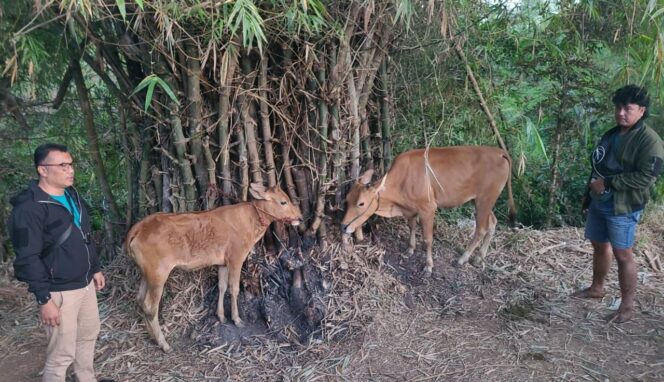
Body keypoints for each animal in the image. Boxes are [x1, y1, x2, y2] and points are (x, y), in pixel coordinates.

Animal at [124, 183, 300, 352]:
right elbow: (234, 288)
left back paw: (152, 336)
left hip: (147, 273)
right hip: (158, 274)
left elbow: (222, 286)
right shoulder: (236, 257)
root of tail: (139, 227)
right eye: (283, 202)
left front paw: (221, 316)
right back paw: (163, 344)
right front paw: (236, 319)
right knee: (150, 306)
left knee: (140, 300)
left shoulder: (222, 262)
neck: (250, 221)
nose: (299, 217)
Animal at [340, 145, 516, 274]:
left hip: (484, 200)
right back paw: (479, 258)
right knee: (493, 223)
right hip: (481, 201)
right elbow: (411, 227)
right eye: (347, 199)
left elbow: (427, 239)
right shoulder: (411, 208)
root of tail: (499, 152)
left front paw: (428, 266)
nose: (343, 226)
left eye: (361, 203)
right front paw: (410, 249)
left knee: (481, 229)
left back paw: (462, 259)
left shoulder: (428, 208)